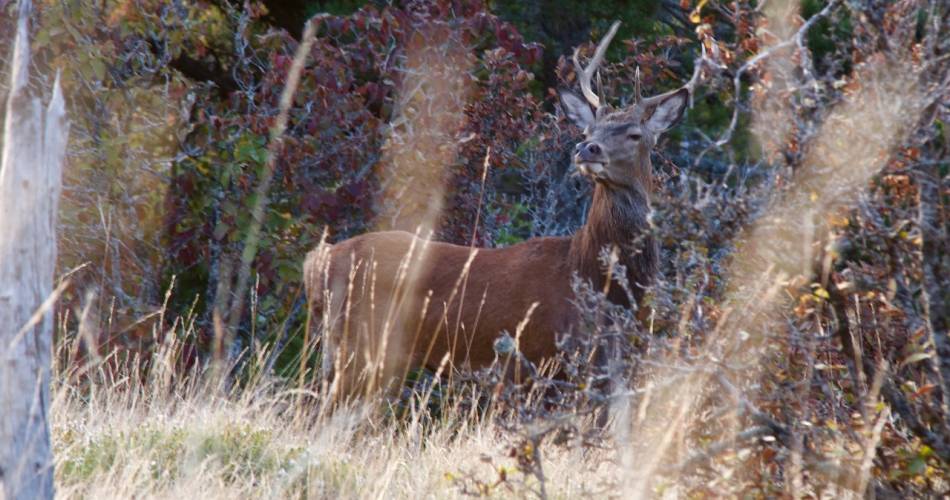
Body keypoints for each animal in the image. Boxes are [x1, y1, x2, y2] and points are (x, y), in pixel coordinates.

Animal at [303, 22, 689, 404]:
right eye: (588, 129)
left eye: (635, 134)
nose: (587, 148)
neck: (596, 278)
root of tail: (319, 259)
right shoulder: (536, 363)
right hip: (361, 344)